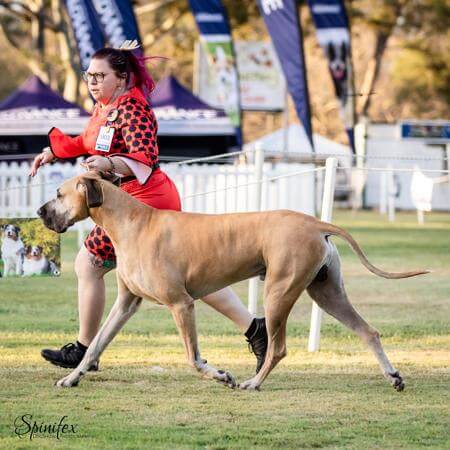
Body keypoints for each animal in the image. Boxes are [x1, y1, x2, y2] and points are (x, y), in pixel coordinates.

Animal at [37, 172, 428, 390]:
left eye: (58, 194)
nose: (40, 212)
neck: (132, 221)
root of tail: (315, 222)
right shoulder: (125, 304)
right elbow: (96, 346)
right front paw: (72, 377)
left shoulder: (181, 304)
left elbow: (193, 358)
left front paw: (223, 376)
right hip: (327, 293)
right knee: (368, 331)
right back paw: (393, 375)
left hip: (278, 292)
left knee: (278, 348)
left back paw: (253, 383)